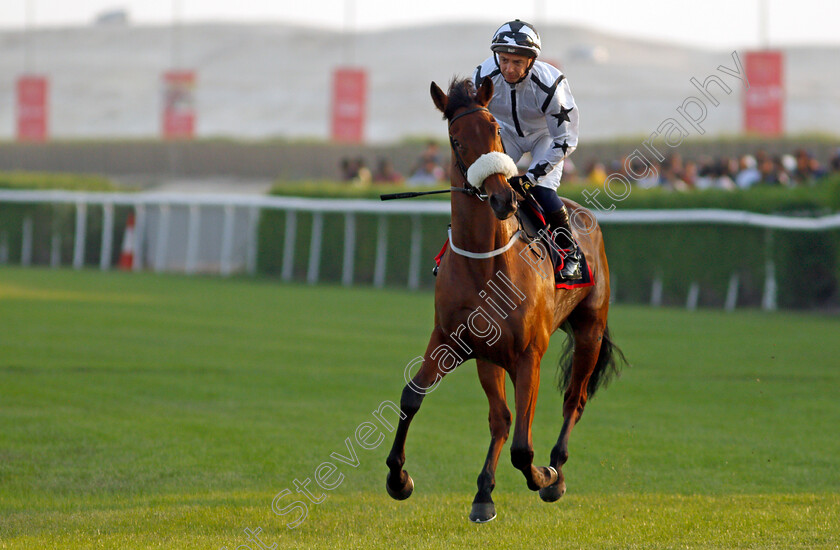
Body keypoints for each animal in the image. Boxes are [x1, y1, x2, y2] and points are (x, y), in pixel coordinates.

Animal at [388, 76, 624, 520]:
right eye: (456, 139)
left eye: (496, 130)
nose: (504, 198)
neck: (485, 263)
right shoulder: (452, 340)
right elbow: (412, 397)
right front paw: (399, 478)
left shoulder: (529, 353)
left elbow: (523, 448)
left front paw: (544, 476)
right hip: (490, 357)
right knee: (501, 418)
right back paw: (483, 493)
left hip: (589, 330)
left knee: (574, 400)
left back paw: (556, 473)